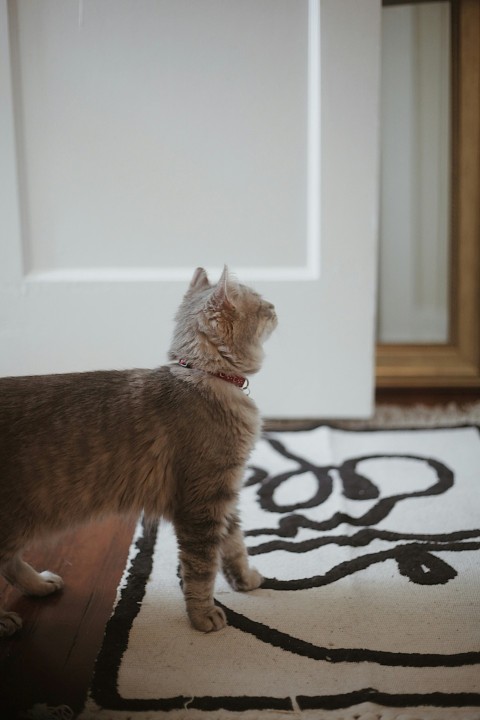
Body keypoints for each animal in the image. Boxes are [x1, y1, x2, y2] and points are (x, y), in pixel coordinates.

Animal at [0, 268, 278, 636]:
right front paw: (203, 615)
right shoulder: (201, 505)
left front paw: (244, 579)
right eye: (261, 304)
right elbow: (201, 570)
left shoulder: (225, 494)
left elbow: (235, 547)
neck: (205, 377)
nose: (275, 307)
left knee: (11, 563)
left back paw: (40, 585)